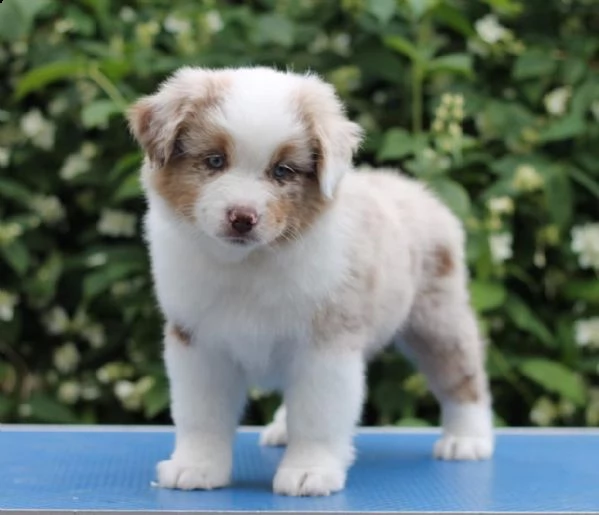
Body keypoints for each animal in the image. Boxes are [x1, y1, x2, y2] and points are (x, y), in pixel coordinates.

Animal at [127, 66, 496, 498]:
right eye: (214, 160)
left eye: (282, 171)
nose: (242, 217)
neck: (249, 264)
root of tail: (415, 189)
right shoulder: (198, 341)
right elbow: (201, 414)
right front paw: (196, 467)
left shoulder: (327, 344)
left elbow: (318, 416)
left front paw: (309, 471)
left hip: (437, 317)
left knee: (463, 375)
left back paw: (467, 439)